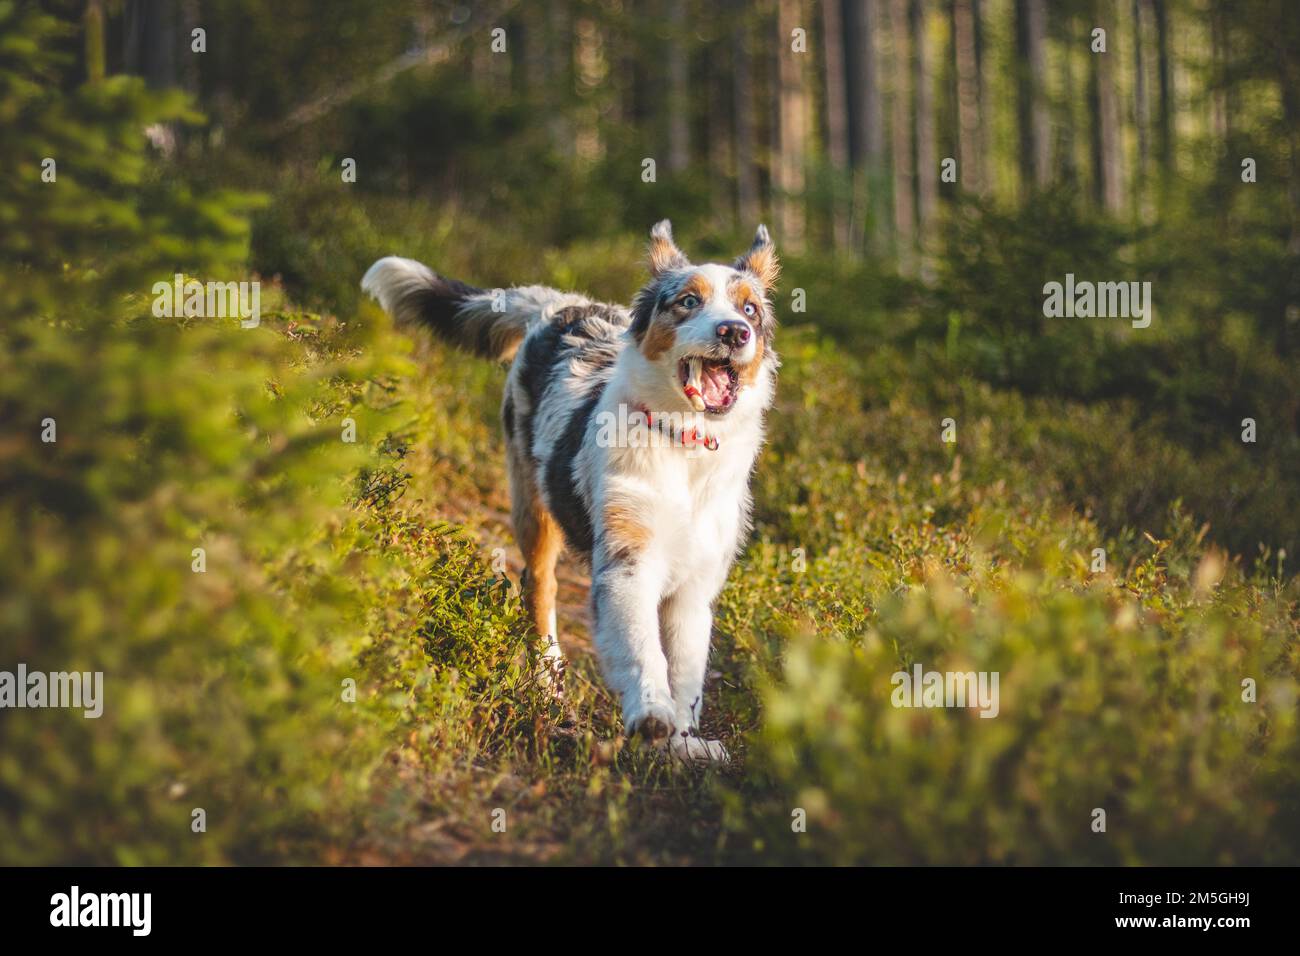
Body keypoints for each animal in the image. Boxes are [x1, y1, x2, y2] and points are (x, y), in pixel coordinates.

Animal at [361, 218, 774, 764]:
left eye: (750, 310)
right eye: (688, 301)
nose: (734, 332)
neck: (682, 444)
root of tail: (559, 304)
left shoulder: (695, 586)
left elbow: (687, 676)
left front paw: (684, 744)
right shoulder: (627, 561)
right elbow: (642, 649)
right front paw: (651, 715)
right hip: (531, 505)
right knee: (539, 588)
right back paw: (548, 688)